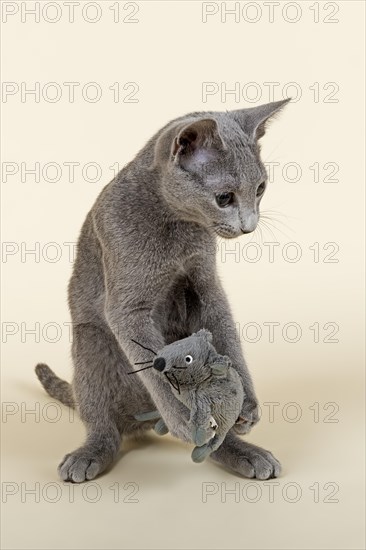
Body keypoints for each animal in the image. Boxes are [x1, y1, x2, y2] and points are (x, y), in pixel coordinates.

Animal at [35, 99, 290, 484]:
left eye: (260, 189)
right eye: (224, 197)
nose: (249, 226)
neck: (175, 223)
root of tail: (146, 418)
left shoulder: (205, 283)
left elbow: (226, 331)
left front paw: (246, 402)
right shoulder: (126, 304)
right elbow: (153, 364)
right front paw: (183, 418)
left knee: (215, 436)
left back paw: (245, 451)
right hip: (90, 344)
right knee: (102, 424)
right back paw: (89, 455)